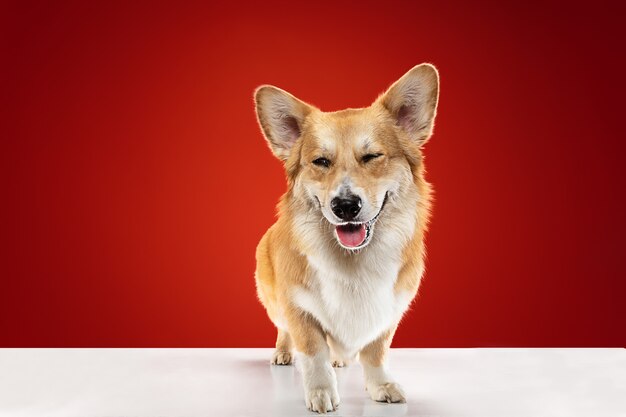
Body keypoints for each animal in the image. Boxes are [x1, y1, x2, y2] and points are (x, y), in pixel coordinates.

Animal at [251, 63, 436, 412]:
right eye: (321, 161)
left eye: (372, 156)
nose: (345, 205)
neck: (353, 260)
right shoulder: (299, 308)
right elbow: (313, 353)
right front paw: (321, 391)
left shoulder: (387, 312)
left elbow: (376, 352)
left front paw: (380, 386)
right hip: (273, 302)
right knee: (282, 329)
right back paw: (283, 353)